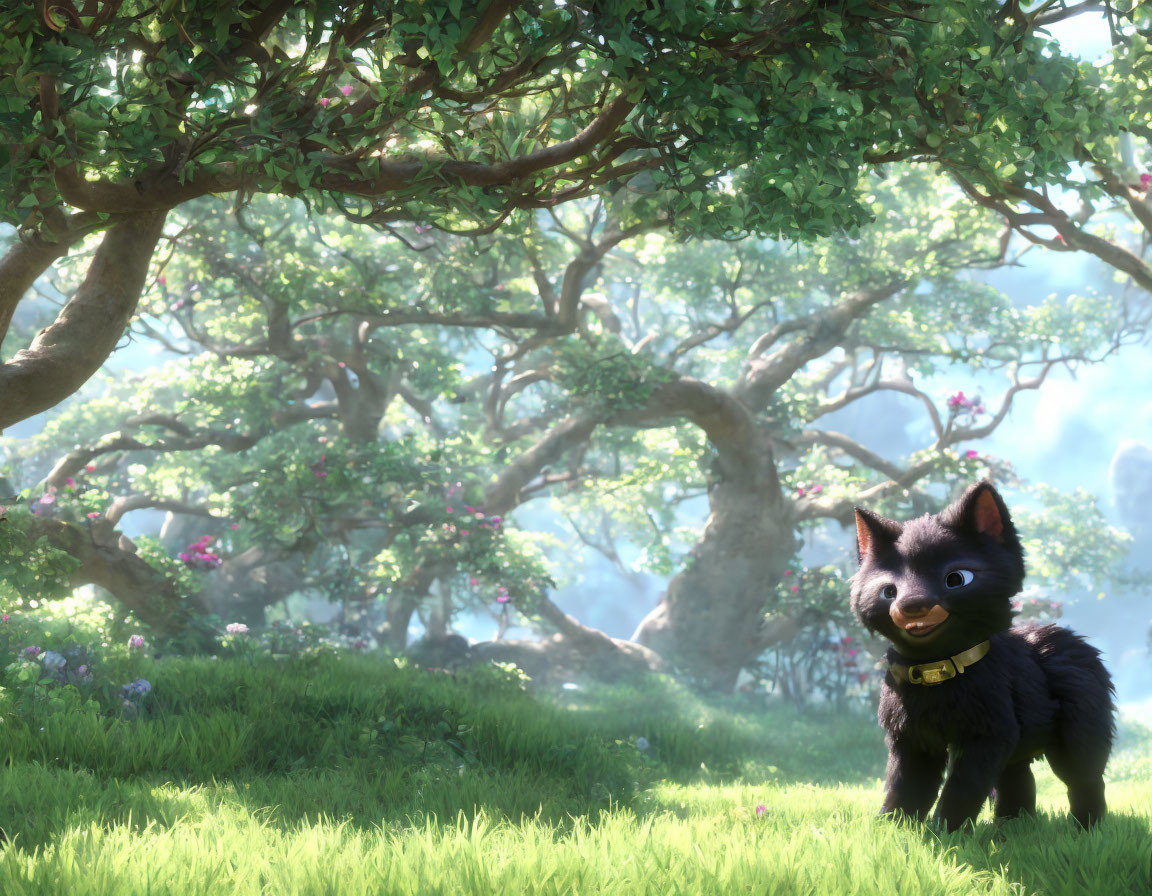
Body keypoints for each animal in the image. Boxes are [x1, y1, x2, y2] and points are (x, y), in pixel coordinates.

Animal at [852, 481, 1110, 829]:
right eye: (888, 591)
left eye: (957, 579)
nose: (912, 605)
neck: (936, 671)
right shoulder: (914, 738)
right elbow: (906, 787)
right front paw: (892, 828)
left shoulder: (987, 735)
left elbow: (962, 788)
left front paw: (945, 831)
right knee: (1017, 777)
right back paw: (1012, 825)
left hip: (1078, 737)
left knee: (1085, 780)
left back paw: (1087, 828)